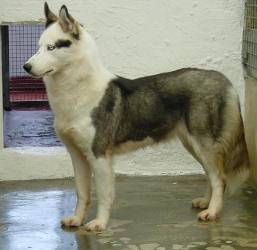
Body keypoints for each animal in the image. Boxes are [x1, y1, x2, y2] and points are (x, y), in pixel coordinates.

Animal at [23, 2, 248, 231]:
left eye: (52, 47)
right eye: (38, 47)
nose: (26, 66)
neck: (75, 92)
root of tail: (221, 78)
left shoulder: (99, 155)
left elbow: (103, 195)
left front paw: (100, 223)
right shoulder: (77, 155)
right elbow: (82, 193)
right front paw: (77, 219)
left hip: (203, 144)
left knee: (220, 178)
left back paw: (212, 211)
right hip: (193, 145)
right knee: (212, 176)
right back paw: (206, 202)